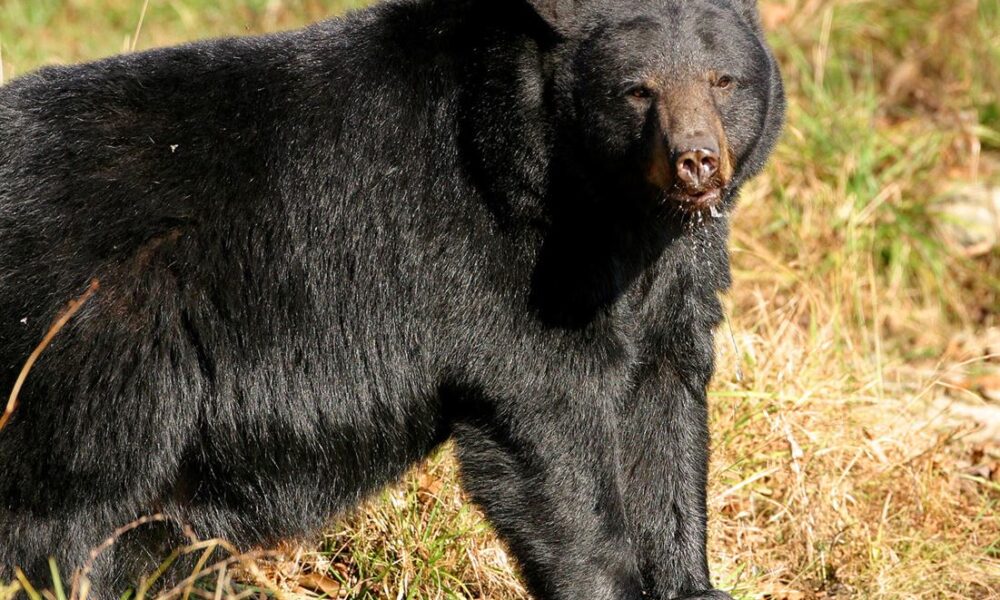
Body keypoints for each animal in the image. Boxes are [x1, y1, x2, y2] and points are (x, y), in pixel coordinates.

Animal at [0, 0, 785, 598]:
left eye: (723, 80)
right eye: (637, 89)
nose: (695, 161)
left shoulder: (672, 283)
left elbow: (665, 416)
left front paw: (692, 581)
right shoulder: (509, 271)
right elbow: (554, 426)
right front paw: (607, 579)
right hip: (91, 349)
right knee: (62, 507)